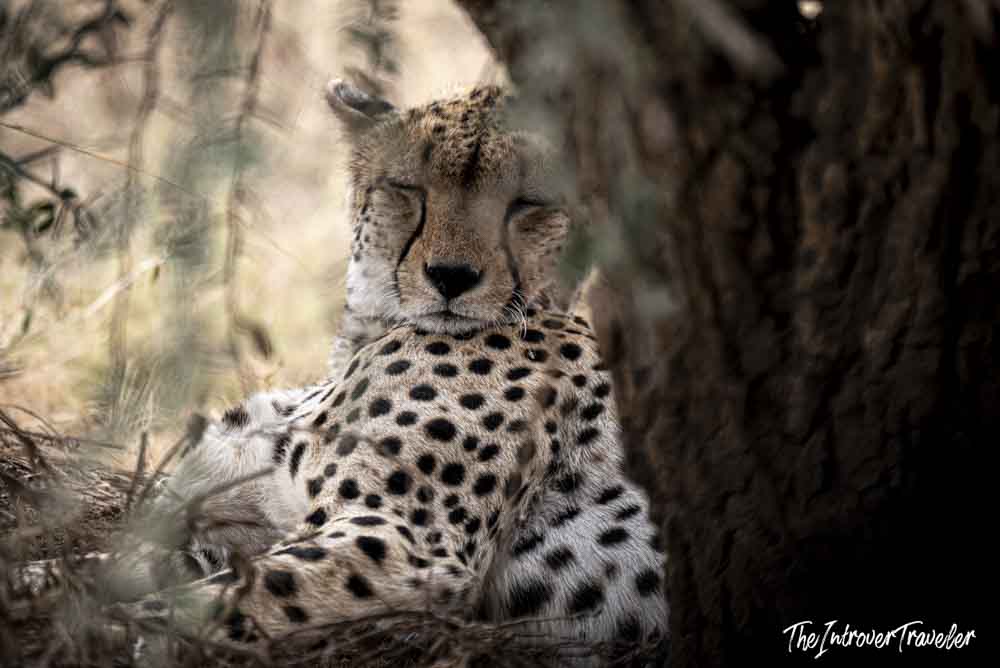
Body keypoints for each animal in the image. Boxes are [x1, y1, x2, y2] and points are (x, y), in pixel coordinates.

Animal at [11, 80, 669, 665]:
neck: (364, 338)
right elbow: (103, 569)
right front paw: (33, 584)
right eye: (408, 188)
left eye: (528, 204)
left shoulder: (406, 544)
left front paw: (111, 635)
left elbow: (224, 598)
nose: (451, 276)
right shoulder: (230, 525)